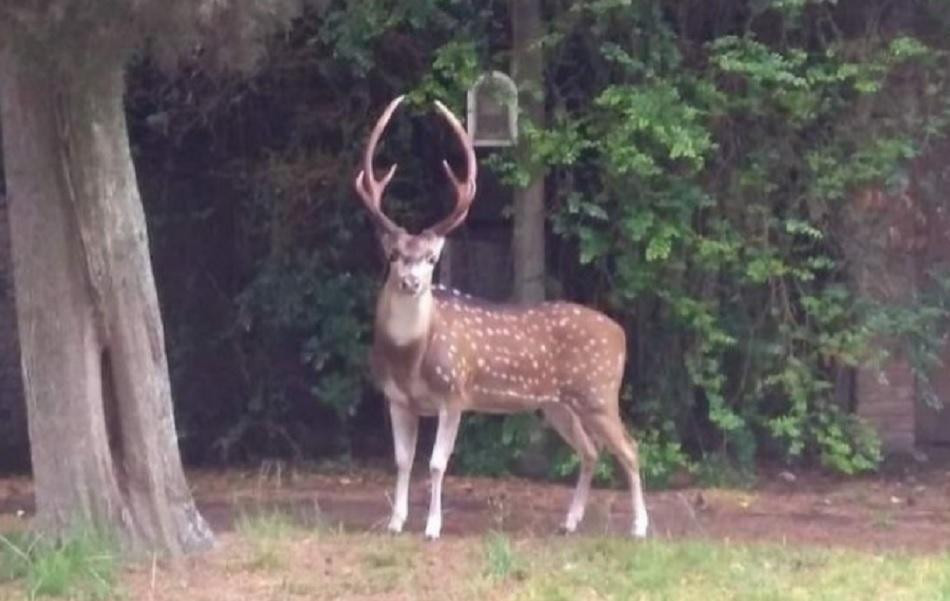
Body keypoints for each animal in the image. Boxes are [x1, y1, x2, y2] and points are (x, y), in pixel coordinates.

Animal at [354, 95, 652, 540]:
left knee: (630, 449)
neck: (410, 358)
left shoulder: (454, 391)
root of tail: (621, 334)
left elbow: (437, 464)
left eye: (432, 259)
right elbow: (403, 461)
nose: (410, 282)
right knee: (590, 450)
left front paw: (433, 527)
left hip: (599, 391)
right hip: (557, 404)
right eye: (393, 255)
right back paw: (569, 522)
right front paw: (395, 522)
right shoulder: (396, 399)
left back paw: (639, 526)